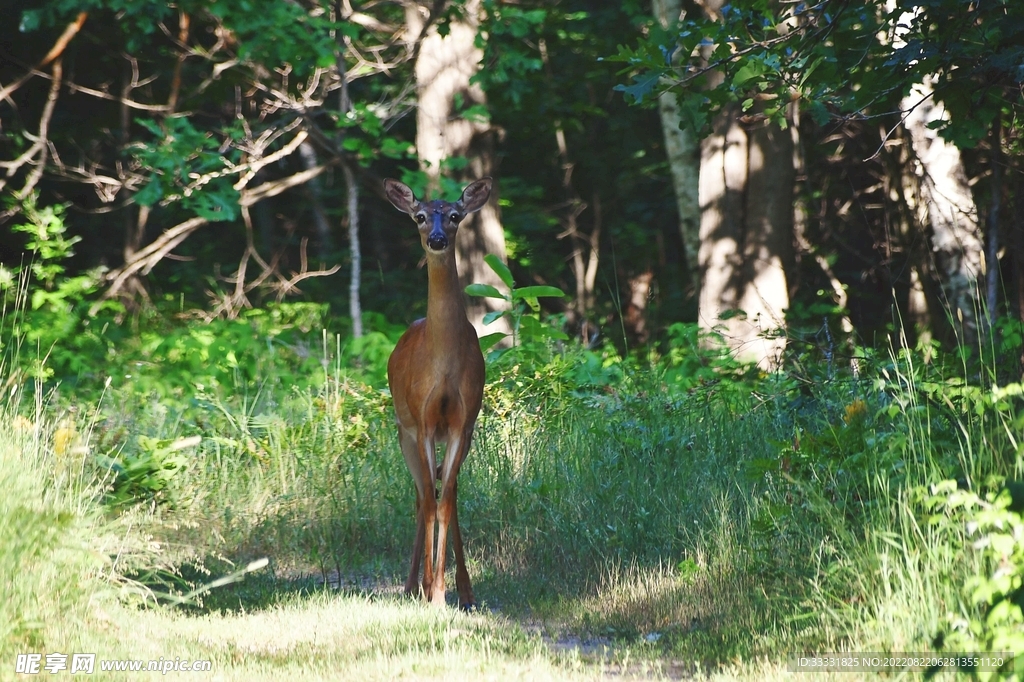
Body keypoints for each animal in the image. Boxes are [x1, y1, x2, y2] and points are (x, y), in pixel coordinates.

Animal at [383, 176, 492, 609]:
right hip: (404, 431)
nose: (438, 238)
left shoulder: (463, 421)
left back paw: (463, 589)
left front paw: (444, 591)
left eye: (456, 215)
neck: (442, 362)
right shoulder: (424, 420)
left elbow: (445, 503)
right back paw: (412, 584)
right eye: (419, 216)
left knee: (450, 493)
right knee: (419, 497)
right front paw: (429, 588)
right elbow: (429, 502)